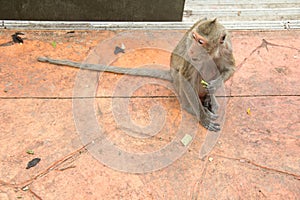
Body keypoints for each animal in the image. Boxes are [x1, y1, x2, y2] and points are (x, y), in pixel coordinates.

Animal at [37, 18, 234, 132]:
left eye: (201, 42)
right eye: (193, 38)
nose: (192, 48)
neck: (212, 53)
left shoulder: (226, 49)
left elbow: (230, 69)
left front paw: (214, 87)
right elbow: (186, 78)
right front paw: (202, 117)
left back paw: (209, 100)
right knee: (182, 76)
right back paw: (193, 106)